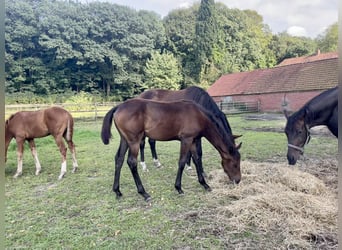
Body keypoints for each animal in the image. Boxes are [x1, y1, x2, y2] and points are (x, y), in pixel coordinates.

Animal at [100, 98, 242, 201]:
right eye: (235, 164)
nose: (238, 180)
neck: (199, 116)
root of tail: (118, 107)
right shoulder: (186, 139)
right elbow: (182, 161)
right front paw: (179, 188)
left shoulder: (193, 141)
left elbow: (196, 159)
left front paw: (205, 184)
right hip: (134, 140)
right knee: (131, 162)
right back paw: (144, 193)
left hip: (125, 140)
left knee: (119, 159)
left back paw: (117, 191)